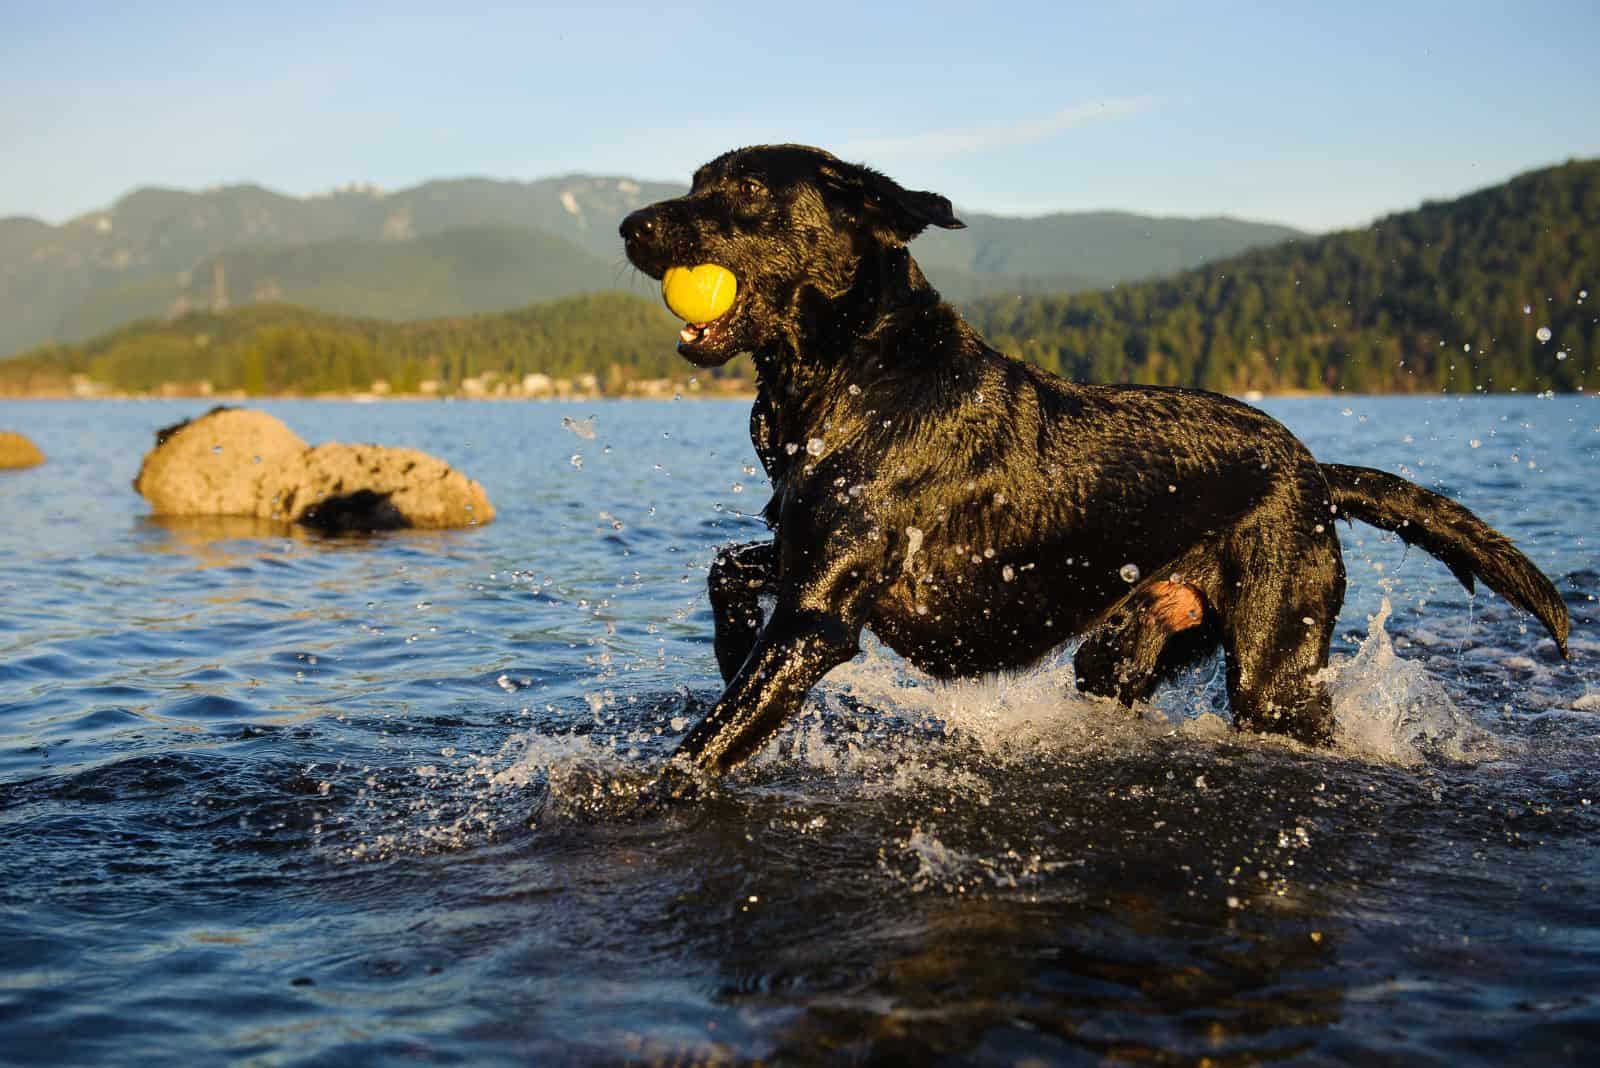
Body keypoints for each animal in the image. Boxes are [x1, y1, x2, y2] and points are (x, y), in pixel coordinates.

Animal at [617, 141, 1568, 777]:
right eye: (694, 183)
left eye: (744, 189)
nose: (629, 225)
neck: (853, 375)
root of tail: (1314, 471)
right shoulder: (802, 564)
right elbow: (727, 567)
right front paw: (726, 642)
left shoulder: (818, 617)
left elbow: (697, 754)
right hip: (1122, 646)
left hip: (1275, 668)